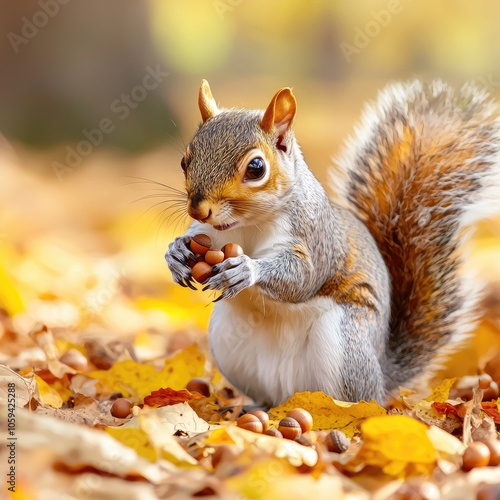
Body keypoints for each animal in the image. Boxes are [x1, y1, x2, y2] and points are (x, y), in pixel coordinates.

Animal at [165, 77, 500, 406]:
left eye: (256, 168)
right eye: (184, 160)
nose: (199, 209)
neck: (248, 224)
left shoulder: (316, 238)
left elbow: (304, 278)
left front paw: (246, 269)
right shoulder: (209, 232)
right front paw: (176, 254)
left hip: (343, 344)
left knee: (358, 400)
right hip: (229, 343)